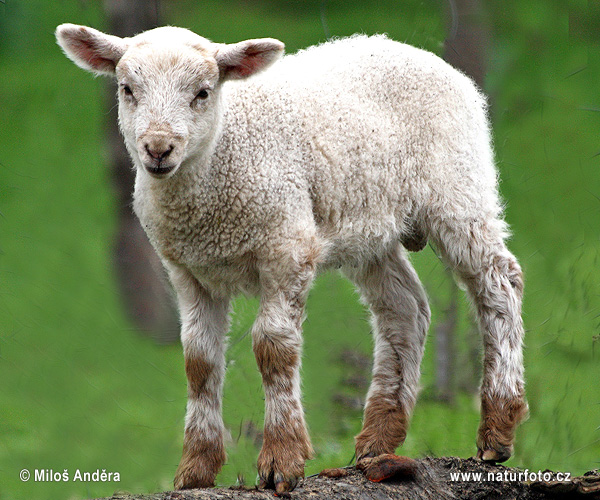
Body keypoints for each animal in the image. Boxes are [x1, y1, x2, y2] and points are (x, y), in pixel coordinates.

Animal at [54, 23, 528, 492]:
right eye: (127, 89)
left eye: (203, 92)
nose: (157, 148)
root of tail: (424, 56)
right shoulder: (187, 269)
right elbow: (199, 361)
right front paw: (196, 468)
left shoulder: (287, 245)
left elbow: (273, 347)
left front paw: (282, 460)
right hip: (367, 226)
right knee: (405, 308)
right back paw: (378, 440)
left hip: (458, 187)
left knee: (498, 283)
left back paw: (498, 427)